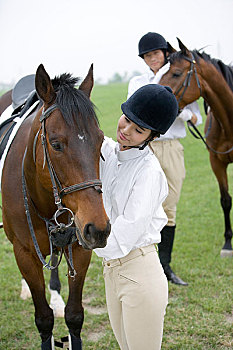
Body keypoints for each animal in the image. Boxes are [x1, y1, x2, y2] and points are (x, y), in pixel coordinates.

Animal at [0, 64, 111, 348]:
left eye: (100, 140)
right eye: (56, 144)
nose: (99, 228)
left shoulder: (80, 247)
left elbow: (75, 315)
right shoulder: (24, 254)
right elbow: (43, 319)